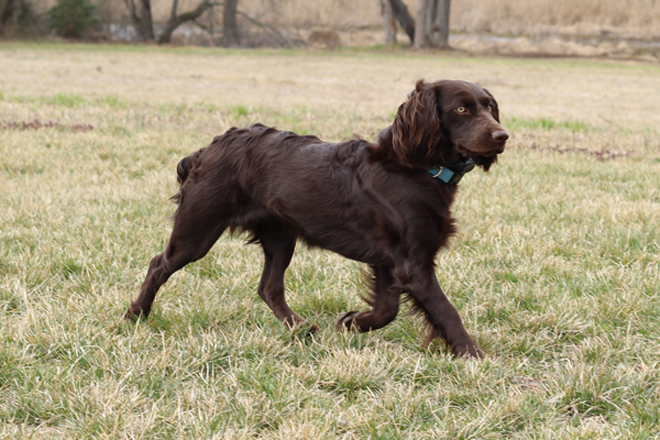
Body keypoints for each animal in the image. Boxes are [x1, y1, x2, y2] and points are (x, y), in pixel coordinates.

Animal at [129, 81, 510, 360]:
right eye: (461, 108)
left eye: (489, 106)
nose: (502, 136)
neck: (416, 167)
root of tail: (206, 149)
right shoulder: (413, 263)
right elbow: (445, 311)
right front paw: (474, 355)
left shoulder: (388, 260)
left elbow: (387, 309)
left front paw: (353, 322)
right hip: (199, 228)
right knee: (159, 264)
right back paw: (135, 314)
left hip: (280, 235)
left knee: (268, 287)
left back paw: (300, 328)